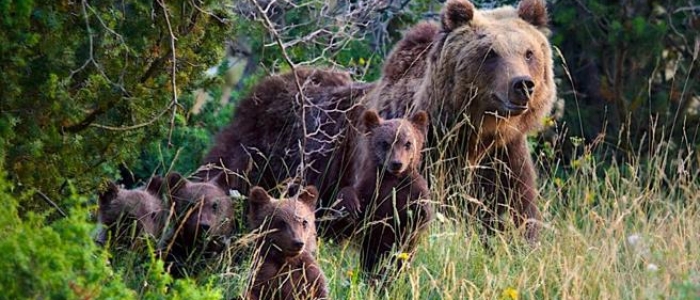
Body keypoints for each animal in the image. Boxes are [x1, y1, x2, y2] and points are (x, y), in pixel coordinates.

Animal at [338, 109, 432, 278]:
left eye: (408, 143)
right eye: (385, 143)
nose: (397, 163)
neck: (392, 178)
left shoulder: (413, 189)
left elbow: (421, 216)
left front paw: (420, 210)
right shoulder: (373, 188)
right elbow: (353, 199)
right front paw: (351, 203)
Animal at [364, 0, 556, 241]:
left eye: (529, 53)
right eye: (491, 53)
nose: (522, 84)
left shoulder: (505, 156)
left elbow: (517, 211)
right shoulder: (426, 155)